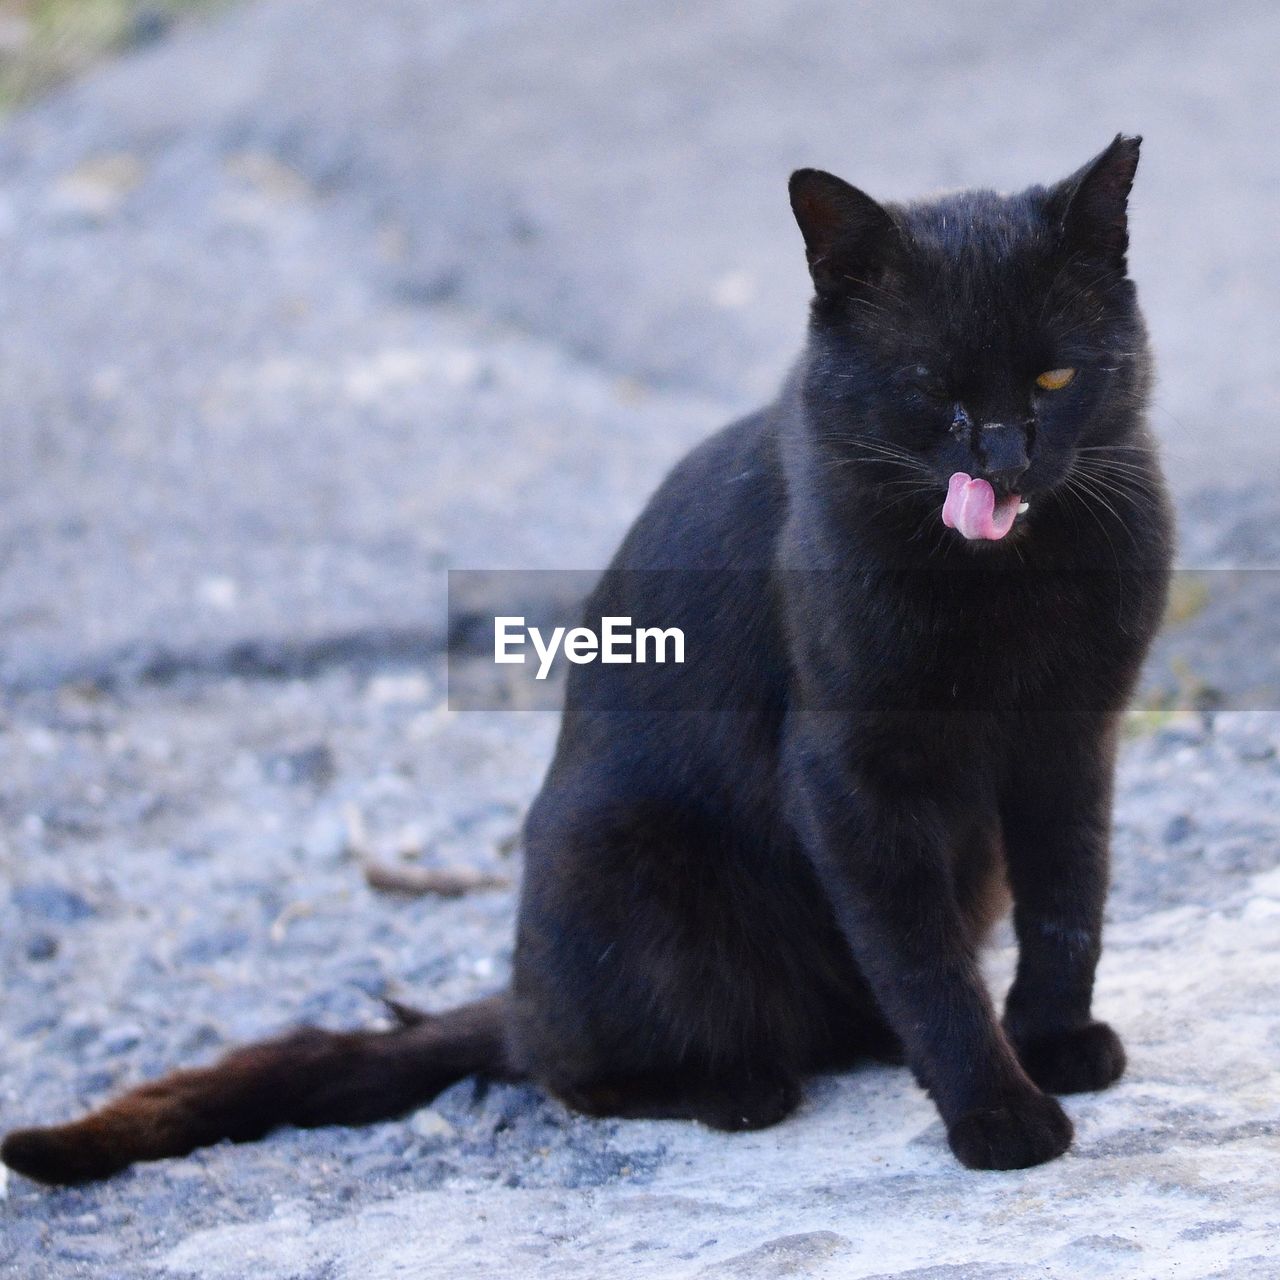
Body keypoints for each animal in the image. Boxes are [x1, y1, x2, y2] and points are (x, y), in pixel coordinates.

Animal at [2, 135, 1172, 1182]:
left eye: (1054, 375)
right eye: (931, 384)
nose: (1004, 457)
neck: (1009, 582)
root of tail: (518, 992)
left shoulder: (1073, 736)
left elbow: (1069, 895)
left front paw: (1052, 1044)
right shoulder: (849, 773)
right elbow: (926, 963)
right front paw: (996, 1112)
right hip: (620, 865)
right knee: (571, 1065)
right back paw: (736, 1085)